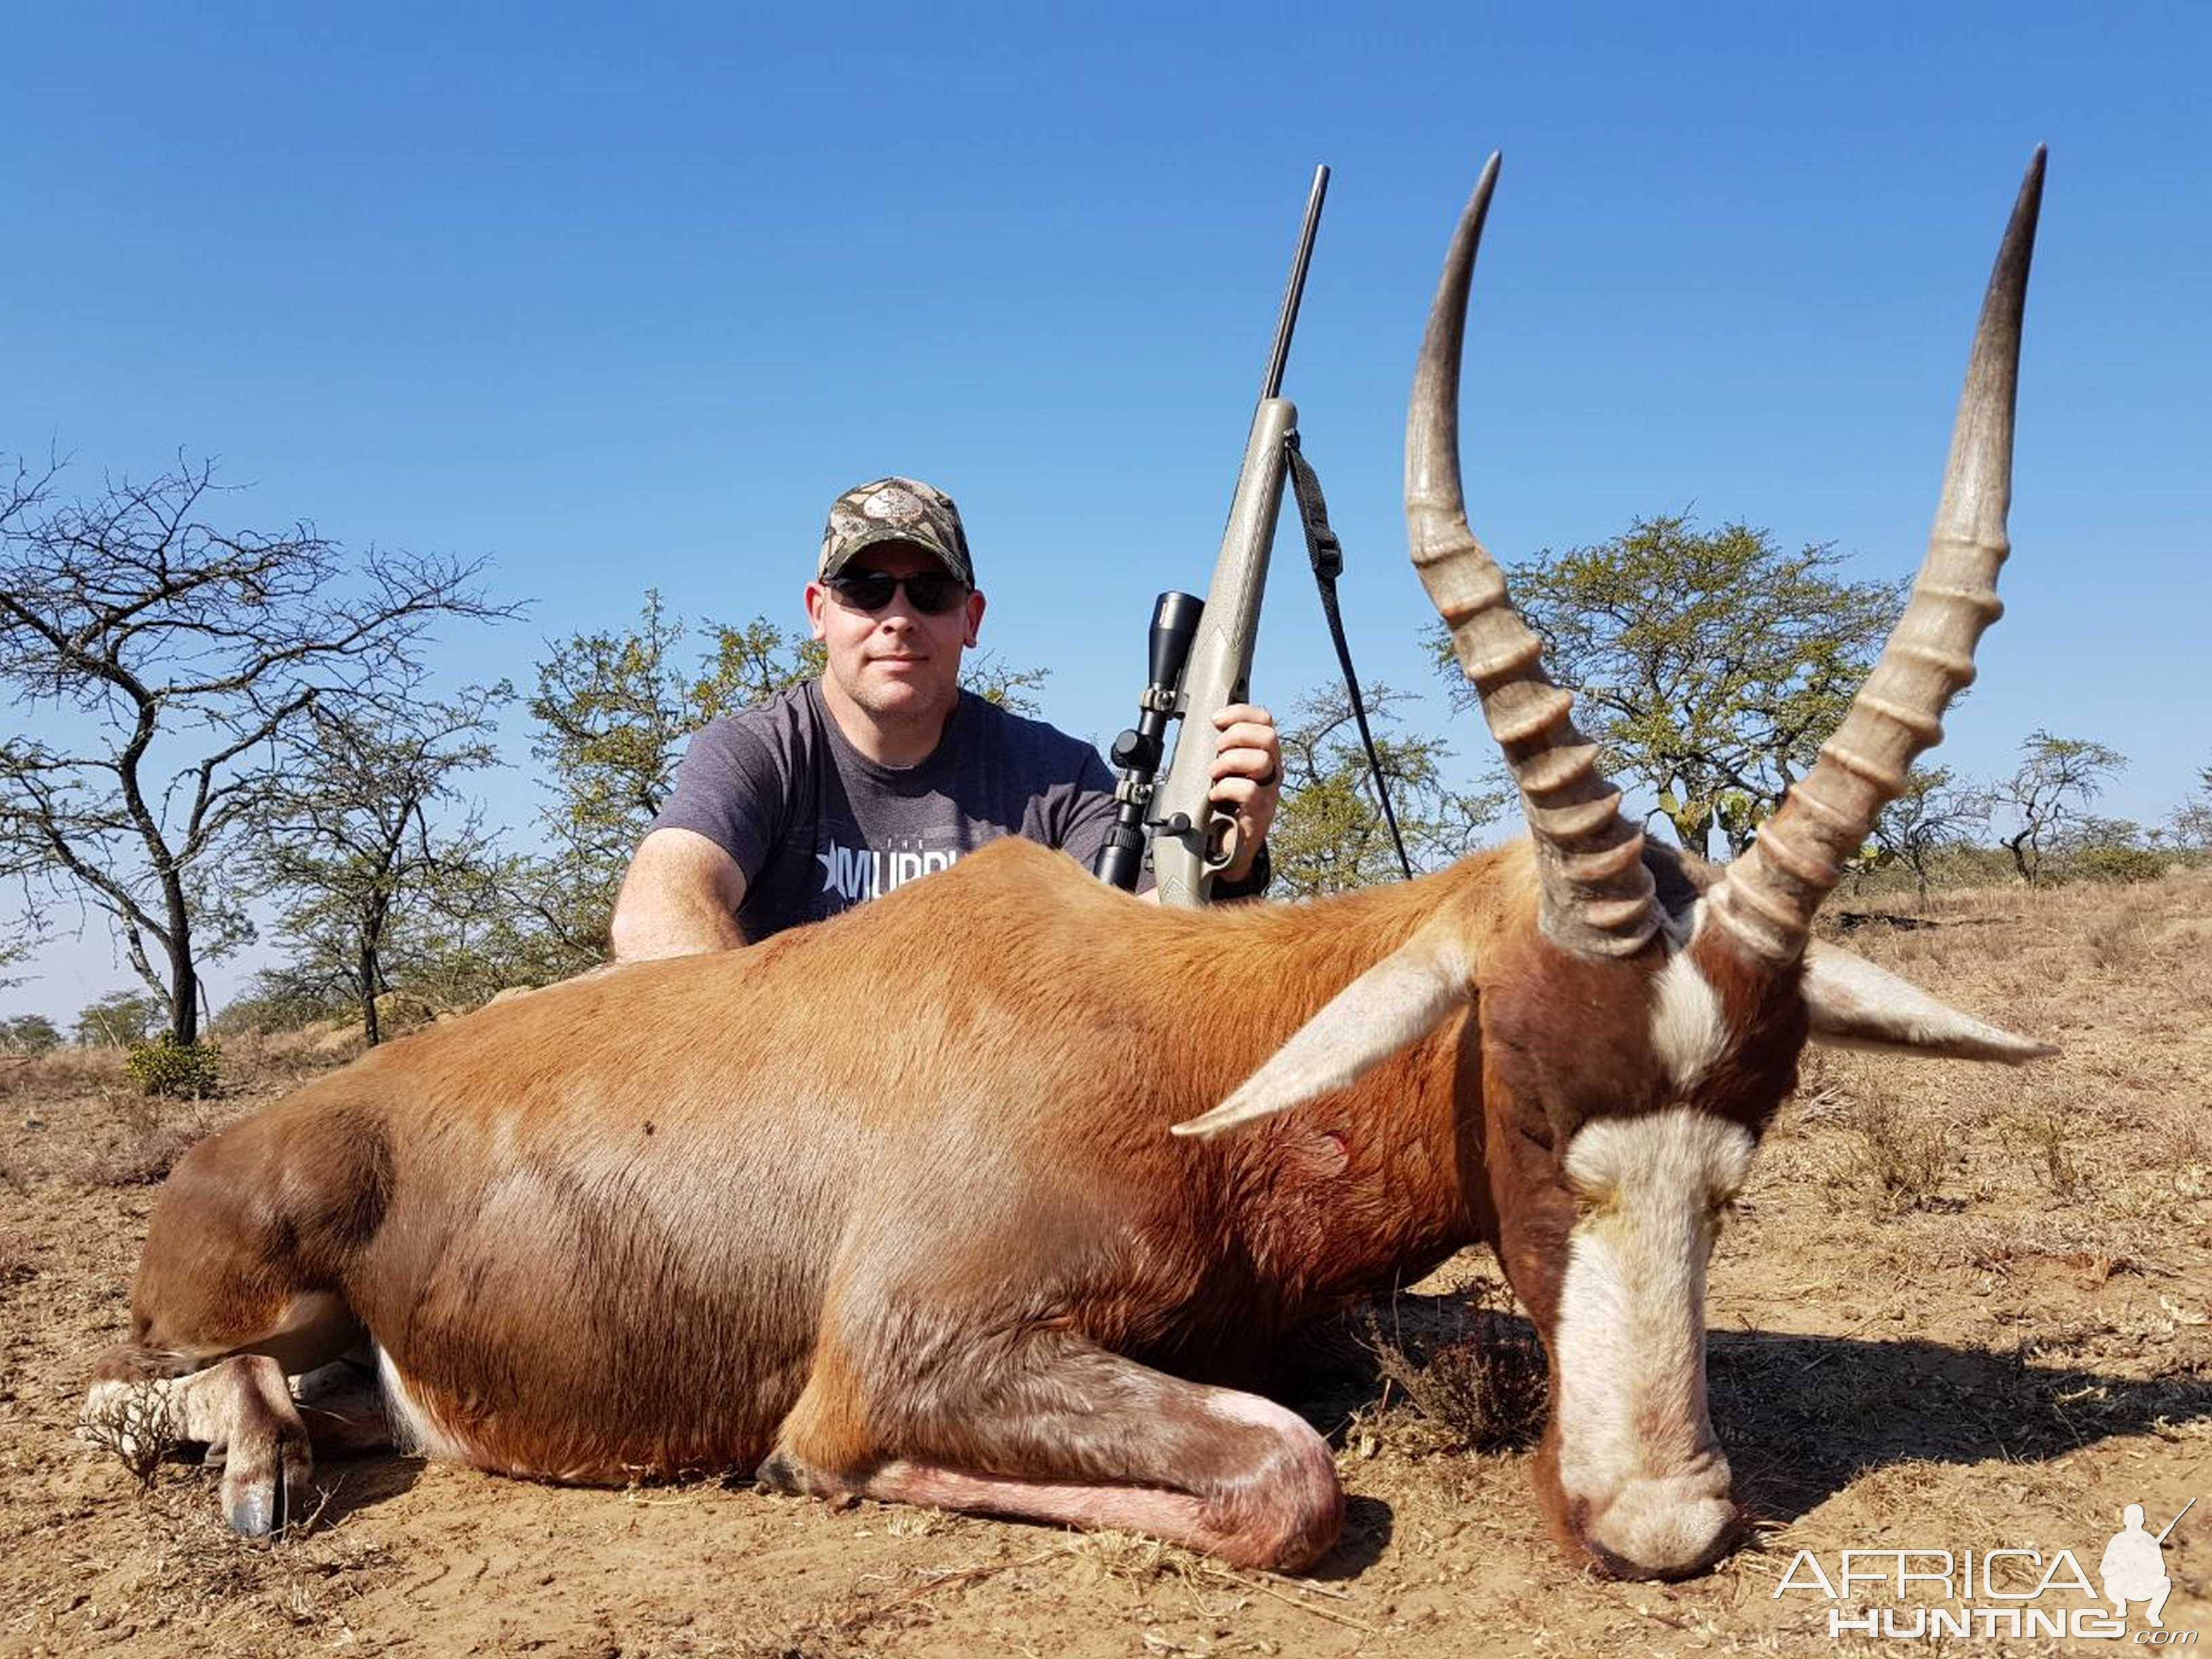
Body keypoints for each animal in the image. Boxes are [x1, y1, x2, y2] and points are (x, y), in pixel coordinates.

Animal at [86, 156, 2052, 1584]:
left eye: (1747, 1141)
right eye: (1524, 1089)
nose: (1661, 1524)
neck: (1179, 1029)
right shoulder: (913, 1351)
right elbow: (1281, 1475)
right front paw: (827, 1481)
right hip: (236, 1281)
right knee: (157, 1380)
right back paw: (243, 1469)